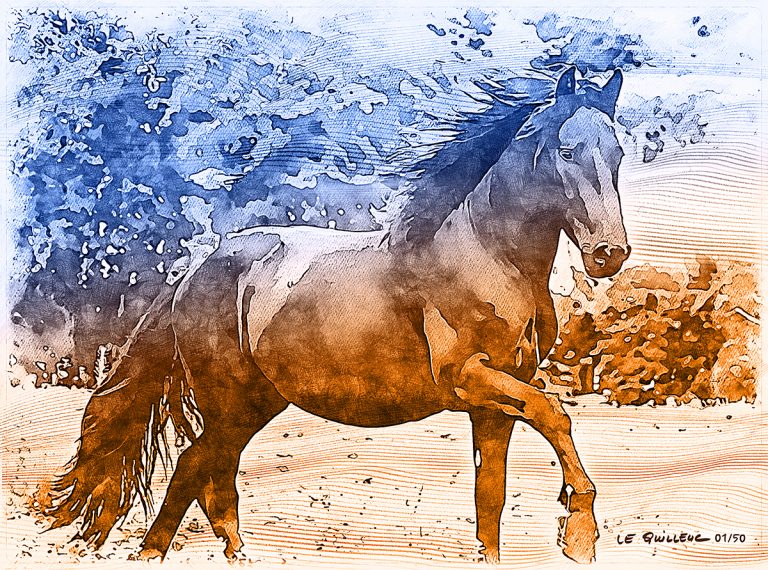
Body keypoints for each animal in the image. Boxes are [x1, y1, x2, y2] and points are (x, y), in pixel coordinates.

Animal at [43, 67, 630, 564]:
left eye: (617, 153)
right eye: (566, 150)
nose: (610, 254)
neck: (487, 256)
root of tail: (199, 267)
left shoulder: (495, 403)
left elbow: (491, 497)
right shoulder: (468, 378)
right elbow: (555, 413)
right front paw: (579, 531)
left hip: (255, 404)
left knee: (209, 474)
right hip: (231, 402)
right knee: (197, 470)